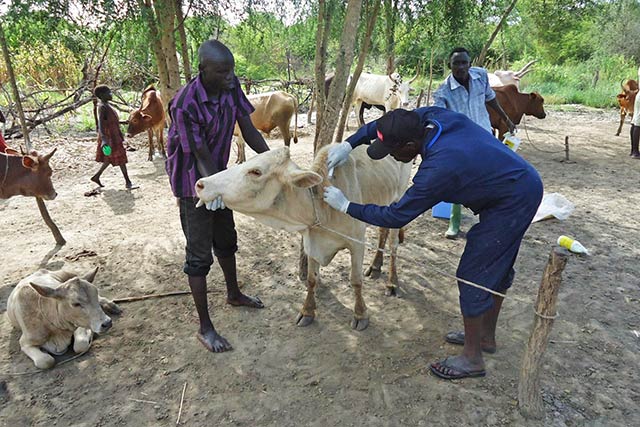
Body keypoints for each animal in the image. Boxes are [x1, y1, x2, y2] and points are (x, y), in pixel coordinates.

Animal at [195, 145, 412, 330]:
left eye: (256, 172)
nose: (200, 184)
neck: (322, 205)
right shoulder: (311, 243)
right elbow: (311, 279)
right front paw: (307, 312)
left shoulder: (357, 242)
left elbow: (355, 280)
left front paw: (360, 315)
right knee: (383, 231)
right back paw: (375, 266)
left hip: (398, 198)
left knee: (393, 243)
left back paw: (392, 282)